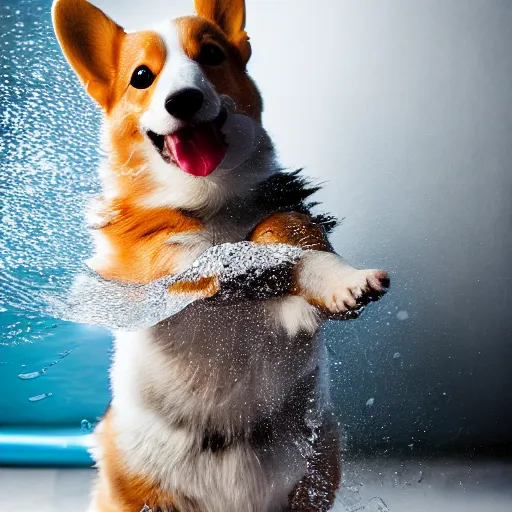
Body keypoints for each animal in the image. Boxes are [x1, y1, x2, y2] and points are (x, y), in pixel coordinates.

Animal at [52, 1, 388, 512]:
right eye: (142, 76)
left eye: (211, 54)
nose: (184, 101)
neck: (211, 199)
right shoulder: (159, 265)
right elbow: (232, 254)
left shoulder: (281, 212)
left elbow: (291, 238)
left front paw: (339, 283)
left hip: (312, 473)